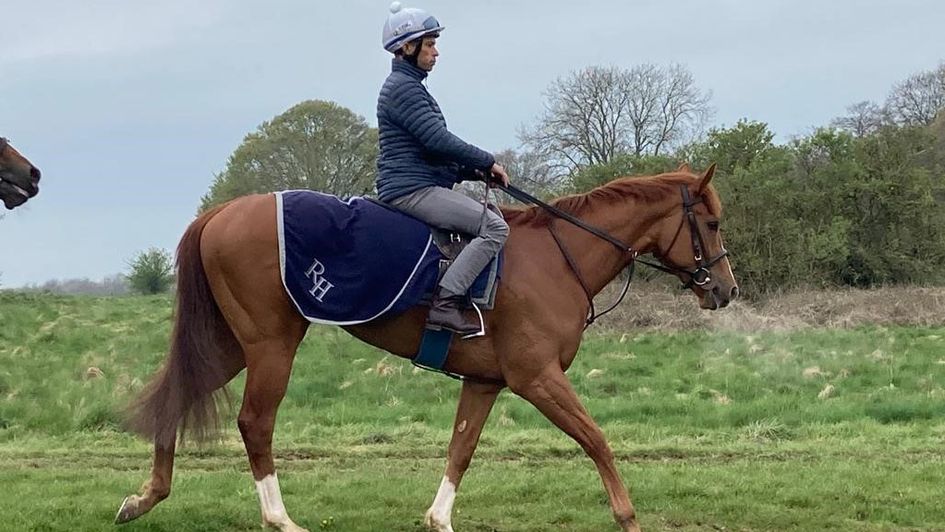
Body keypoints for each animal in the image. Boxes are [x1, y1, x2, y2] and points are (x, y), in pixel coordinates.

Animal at [118, 164, 736, 528]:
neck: (557, 257)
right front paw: (628, 516)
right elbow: (598, 441)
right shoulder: (538, 378)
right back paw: (279, 519)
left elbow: (461, 449)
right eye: (710, 222)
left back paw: (145, 497)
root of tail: (222, 211)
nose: (726, 290)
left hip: (232, 345)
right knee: (255, 422)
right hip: (272, 344)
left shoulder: (486, 382)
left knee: (177, 397)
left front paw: (438, 518)